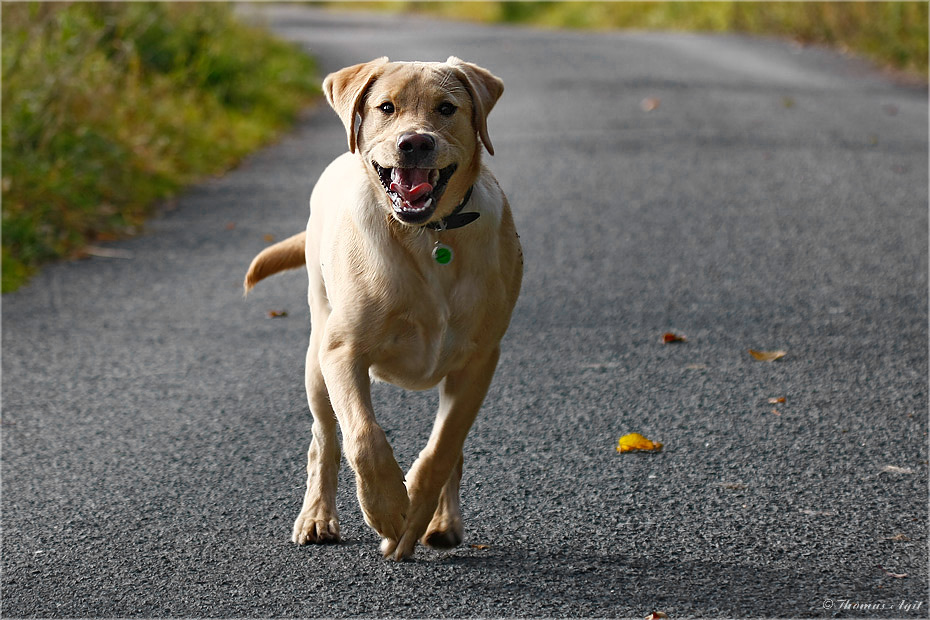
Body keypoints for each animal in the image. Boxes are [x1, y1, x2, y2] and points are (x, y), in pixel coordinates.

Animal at [245, 59, 520, 560]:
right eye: (386, 107)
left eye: (446, 108)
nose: (415, 142)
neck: (428, 237)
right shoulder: (342, 353)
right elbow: (363, 437)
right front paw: (389, 510)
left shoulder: (479, 360)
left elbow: (443, 448)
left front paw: (415, 513)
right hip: (316, 360)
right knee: (324, 440)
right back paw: (317, 517)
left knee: (454, 448)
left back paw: (442, 522)